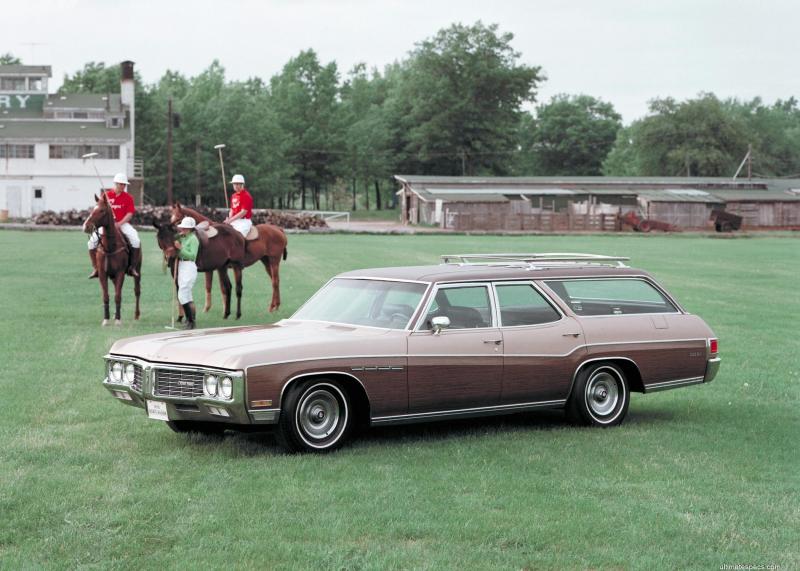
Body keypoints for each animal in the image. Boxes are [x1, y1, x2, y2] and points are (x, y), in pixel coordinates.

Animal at [83, 193, 143, 324]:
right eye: (93, 209)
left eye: (102, 210)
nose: (86, 226)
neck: (109, 247)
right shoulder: (102, 273)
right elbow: (106, 296)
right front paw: (106, 319)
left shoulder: (120, 272)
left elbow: (118, 296)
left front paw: (118, 320)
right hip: (112, 276)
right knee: (116, 288)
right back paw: (115, 314)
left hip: (138, 270)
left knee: (137, 291)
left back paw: (136, 315)